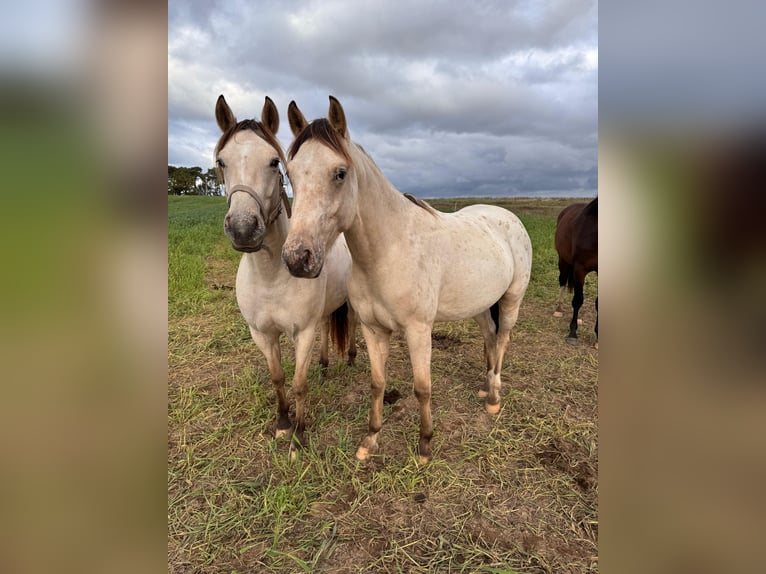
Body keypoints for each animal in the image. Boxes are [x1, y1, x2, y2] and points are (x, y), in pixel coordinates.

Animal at [214, 94, 357, 458]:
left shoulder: (302, 333)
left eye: (273, 162)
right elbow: (278, 377)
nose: (243, 228)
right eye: (221, 162)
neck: (271, 277)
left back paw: (350, 358)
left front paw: (299, 435)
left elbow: (298, 383)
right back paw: (325, 363)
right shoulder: (261, 334)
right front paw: (282, 423)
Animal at [281, 96, 533, 464]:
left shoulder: (418, 330)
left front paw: (425, 444)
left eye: (340, 173)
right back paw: (485, 385)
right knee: (489, 335)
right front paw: (370, 439)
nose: (297, 258)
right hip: (481, 304)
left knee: (502, 340)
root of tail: (509, 217)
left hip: (512, 301)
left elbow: (422, 388)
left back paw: (493, 397)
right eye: (291, 174)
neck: (387, 251)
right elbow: (377, 383)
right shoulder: (373, 330)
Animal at [553, 198, 598, 347]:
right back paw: (558, 309)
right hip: (563, 260)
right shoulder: (579, 268)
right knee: (562, 280)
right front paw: (572, 333)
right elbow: (578, 300)